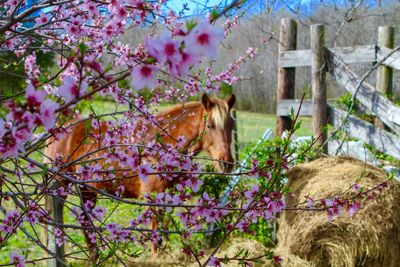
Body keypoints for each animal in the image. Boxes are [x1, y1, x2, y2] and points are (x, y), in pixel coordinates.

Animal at [42, 93, 236, 264]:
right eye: (210, 125)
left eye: (232, 126)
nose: (226, 163)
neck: (162, 145)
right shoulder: (153, 197)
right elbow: (156, 227)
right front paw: (156, 255)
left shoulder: (170, 194)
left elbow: (165, 225)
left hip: (86, 189)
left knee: (84, 219)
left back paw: (94, 255)